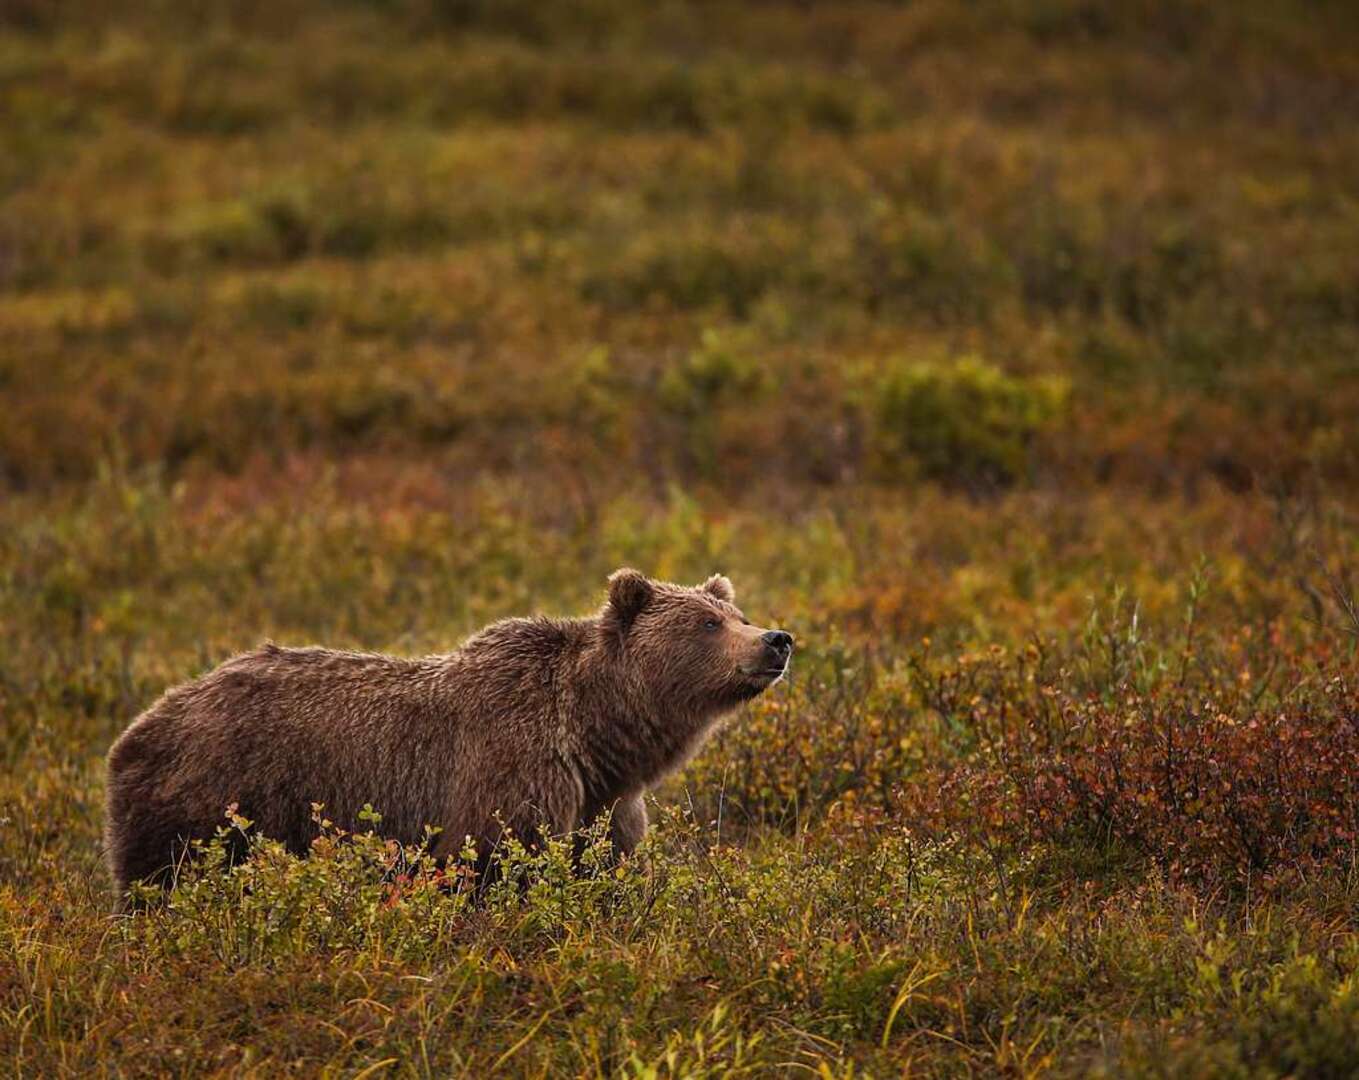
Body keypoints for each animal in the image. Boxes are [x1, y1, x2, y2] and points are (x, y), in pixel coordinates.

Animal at [104, 568, 794, 906]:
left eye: (737, 614)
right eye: (707, 623)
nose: (776, 639)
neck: (596, 735)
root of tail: (144, 721)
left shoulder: (604, 802)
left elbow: (602, 866)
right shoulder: (509, 767)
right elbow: (497, 861)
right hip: (210, 798)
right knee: (163, 879)